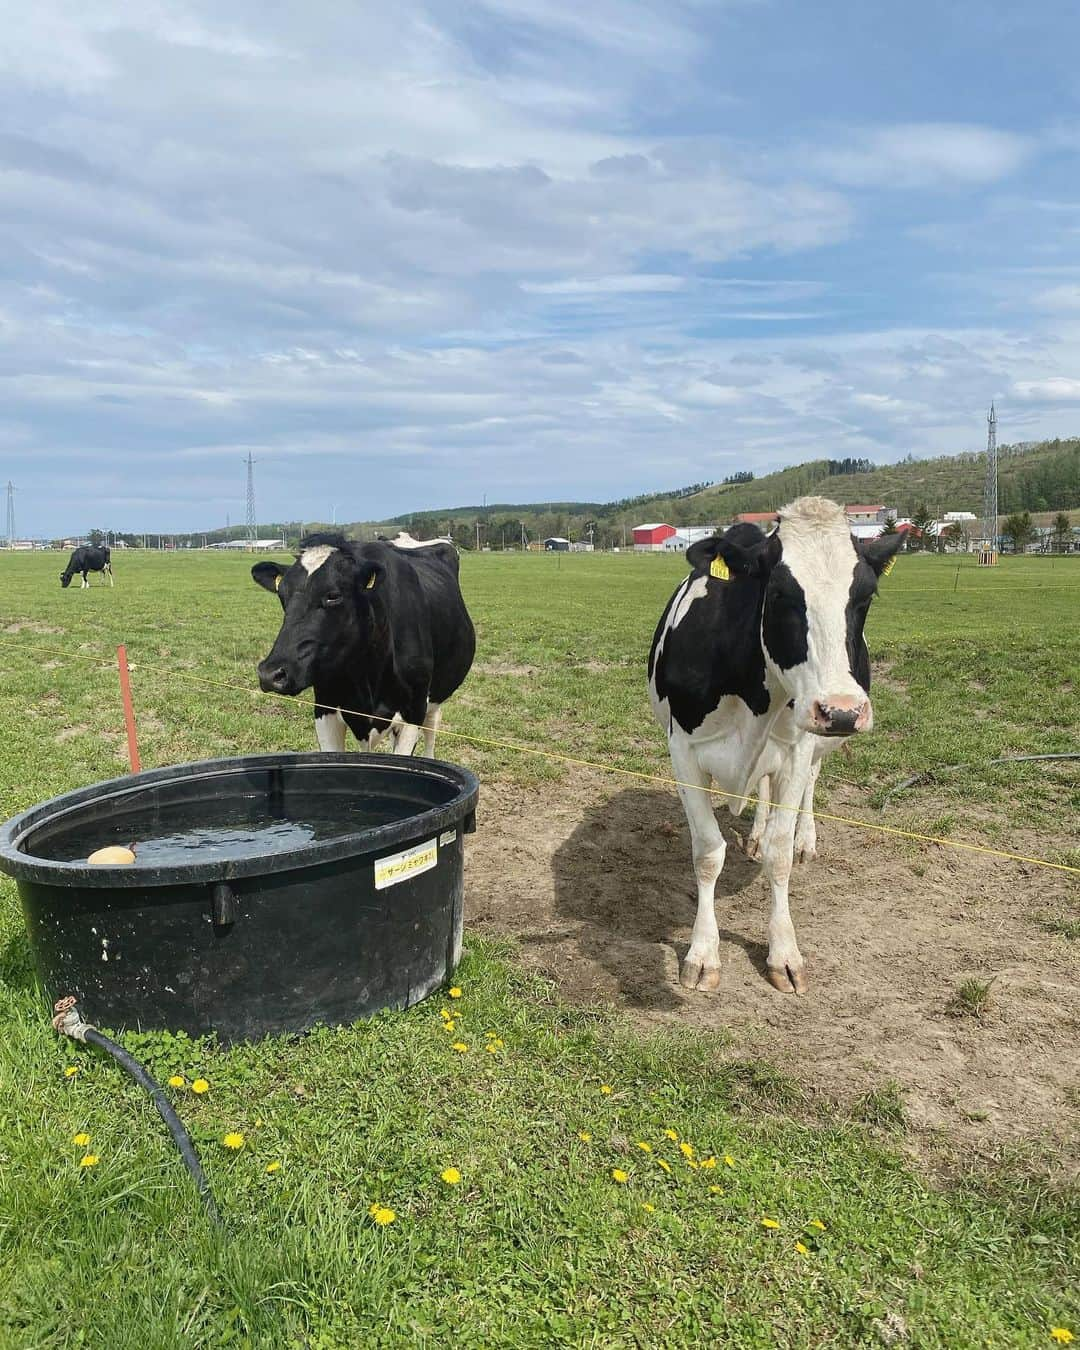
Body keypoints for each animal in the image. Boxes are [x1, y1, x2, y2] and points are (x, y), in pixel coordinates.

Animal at [255, 529, 475, 761]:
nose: (270, 674)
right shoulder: (325, 708)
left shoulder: (413, 711)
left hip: (434, 698)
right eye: (282, 594)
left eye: (333, 596)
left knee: (432, 726)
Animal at [650, 496, 901, 993]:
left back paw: (803, 838)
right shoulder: (683, 752)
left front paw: (784, 951)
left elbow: (780, 856)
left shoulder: (797, 750)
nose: (842, 710)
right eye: (782, 594)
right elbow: (708, 853)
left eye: (865, 597)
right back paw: (755, 832)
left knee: (808, 788)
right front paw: (703, 952)